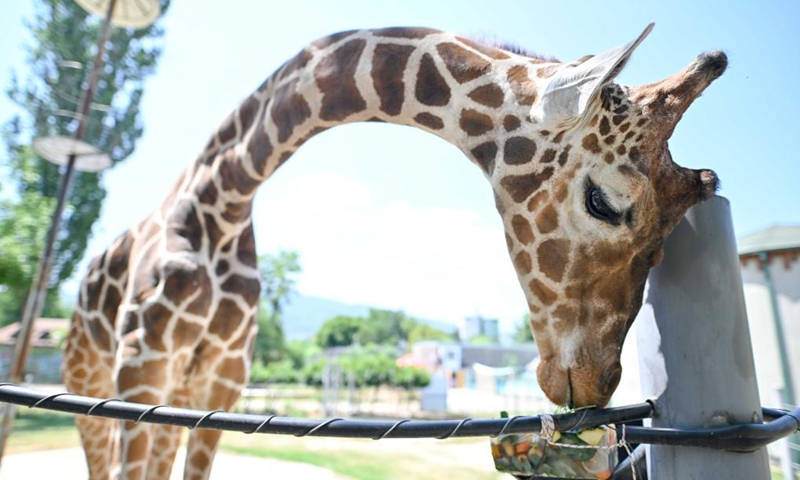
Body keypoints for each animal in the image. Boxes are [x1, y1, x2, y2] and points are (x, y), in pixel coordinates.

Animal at [62, 24, 726, 479]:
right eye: (603, 202)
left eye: (662, 253)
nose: (592, 383)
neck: (225, 197)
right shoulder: (140, 370)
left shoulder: (220, 384)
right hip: (91, 377)